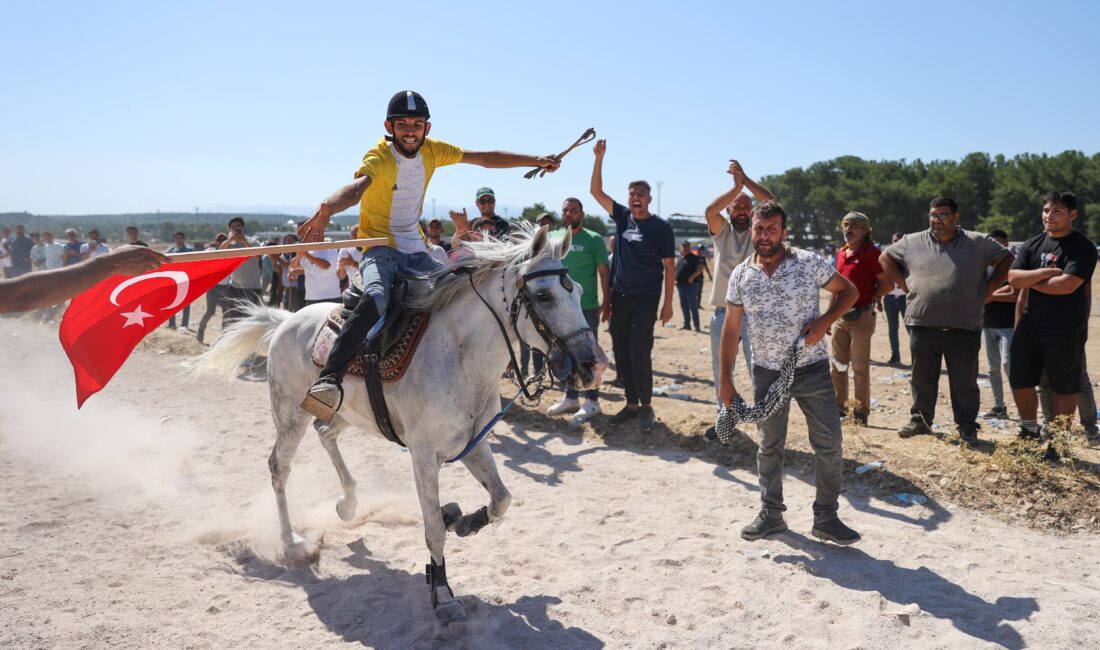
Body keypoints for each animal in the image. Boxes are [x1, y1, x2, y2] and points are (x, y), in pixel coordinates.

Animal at [189, 225, 602, 624]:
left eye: (580, 291)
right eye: (544, 296)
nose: (593, 364)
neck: (458, 357)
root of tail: (287, 319)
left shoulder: (473, 443)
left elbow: (501, 499)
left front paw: (463, 520)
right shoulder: (423, 455)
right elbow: (433, 531)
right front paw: (443, 595)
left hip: (344, 413)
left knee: (326, 436)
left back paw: (349, 504)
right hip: (291, 413)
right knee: (279, 466)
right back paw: (291, 541)